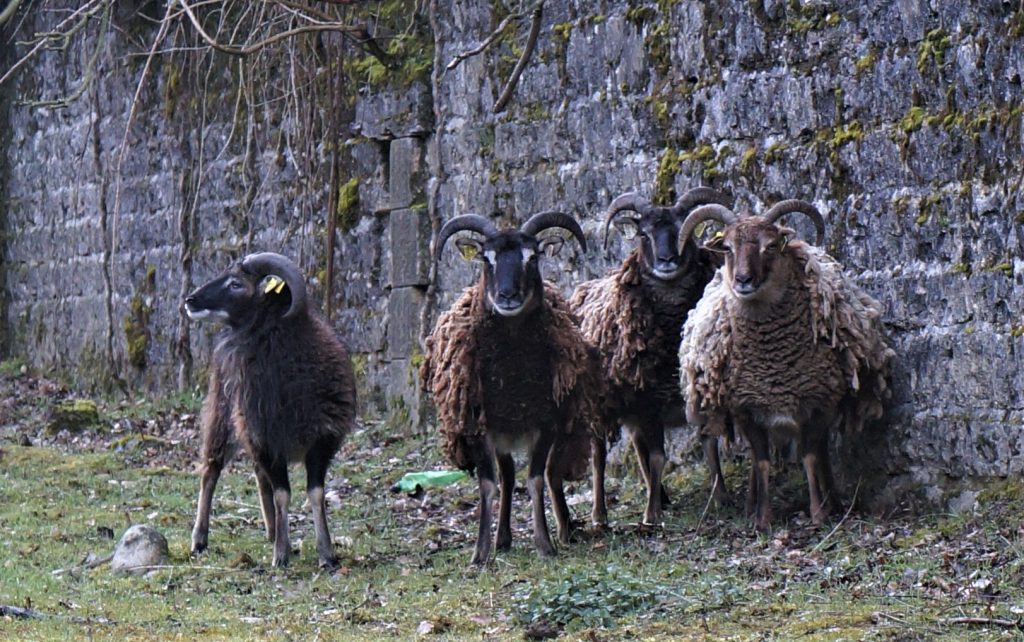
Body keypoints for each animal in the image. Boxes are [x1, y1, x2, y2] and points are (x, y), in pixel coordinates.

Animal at [184, 250, 356, 569]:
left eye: (236, 284)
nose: (191, 300)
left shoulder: (321, 441)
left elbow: (315, 493)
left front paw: (326, 554)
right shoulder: (267, 441)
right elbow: (283, 494)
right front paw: (281, 555)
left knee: (257, 474)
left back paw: (272, 530)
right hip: (223, 415)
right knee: (210, 471)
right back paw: (199, 540)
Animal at [419, 208, 598, 565]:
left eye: (533, 257)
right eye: (486, 258)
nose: (507, 296)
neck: (512, 377)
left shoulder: (546, 422)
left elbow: (536, 480)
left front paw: (545, 545)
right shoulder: (478, 425)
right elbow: (489, 484)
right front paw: (480, 553)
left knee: (547, 474)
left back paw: (559, 529)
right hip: (500, 433)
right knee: (507, 474)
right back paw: (502, 538)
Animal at [573, 187, 733, 528]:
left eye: (683, 230)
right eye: (643, 233)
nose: (666, 260)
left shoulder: (689, 395)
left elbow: (709, 445)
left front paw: (721, 498)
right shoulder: (649, 402)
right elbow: (659, 456)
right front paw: (650, 514)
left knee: (637, 446)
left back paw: (659, 494)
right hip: (600, 407)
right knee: (599, 455)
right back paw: (600, 514)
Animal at [679, 200, 888, 532]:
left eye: (771, 245)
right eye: (727, 247)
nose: (743, 281)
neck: (772, 360)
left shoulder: (819, 402)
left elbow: (810, 456)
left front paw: (819, 514)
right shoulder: (746, 408)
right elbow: (762, 460)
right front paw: (762, 518)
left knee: (822, 452)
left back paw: (834, 500)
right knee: (756, 460)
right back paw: (751, 504)